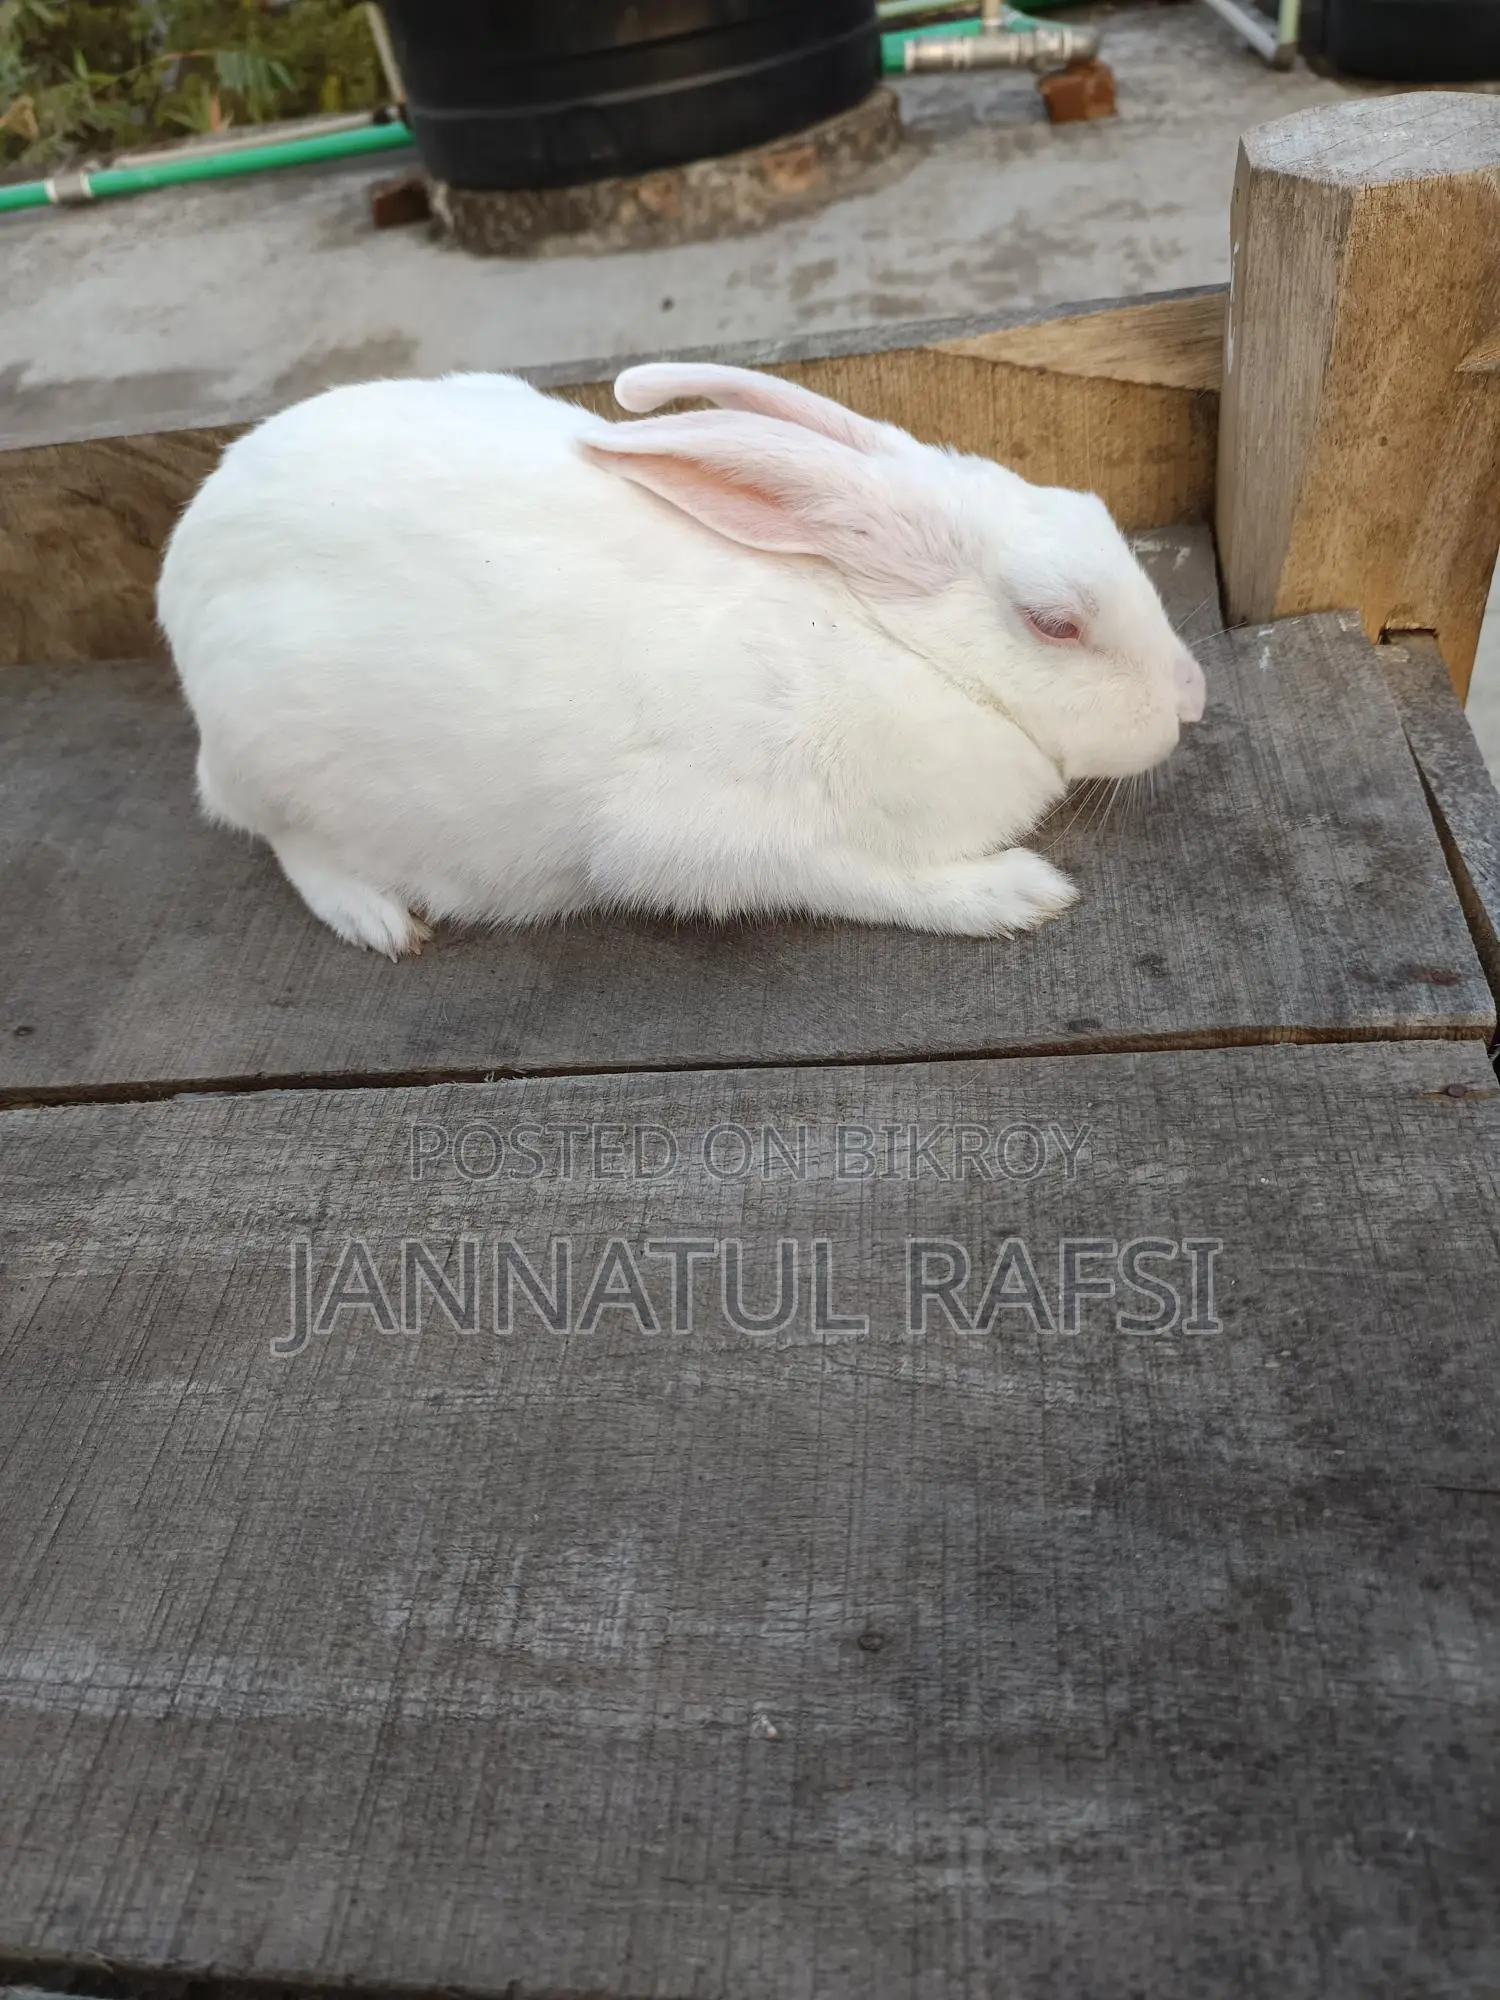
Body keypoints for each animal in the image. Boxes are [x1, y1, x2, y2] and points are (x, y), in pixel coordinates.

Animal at [157, 362, 1206, 959]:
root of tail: (182, 577)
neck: (898, 645)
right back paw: (377, 919)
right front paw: (1016, 895)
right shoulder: (707, 843)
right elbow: (865, 880)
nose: (1191, 700)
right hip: (281, 757)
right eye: (1054, 623)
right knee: (284, 841)